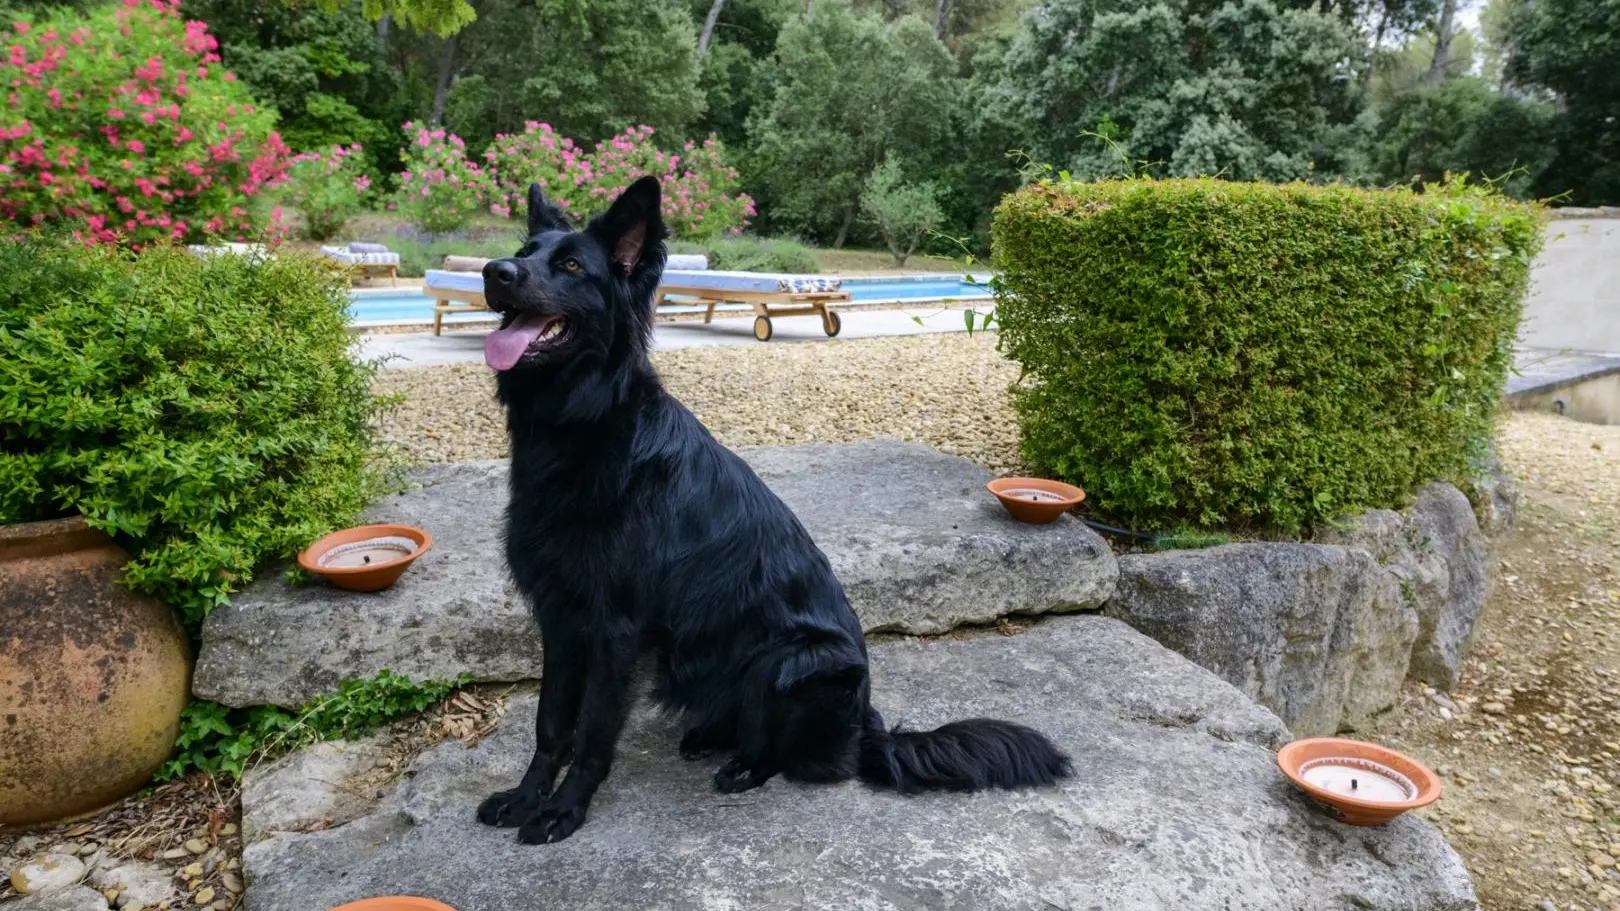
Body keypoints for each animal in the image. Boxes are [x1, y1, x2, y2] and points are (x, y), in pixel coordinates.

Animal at [473, 173, 1069, 842]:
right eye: (523, 252)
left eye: (572, 265)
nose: (494, 272)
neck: (581, 425)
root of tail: (868, 727)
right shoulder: (558, 618)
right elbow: (551, 724)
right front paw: (526, 797)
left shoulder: (613, 630)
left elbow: (595, 732)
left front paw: (564, 810)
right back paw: (707, 736)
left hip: (791, 662)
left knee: (788, 753)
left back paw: (743, 768)